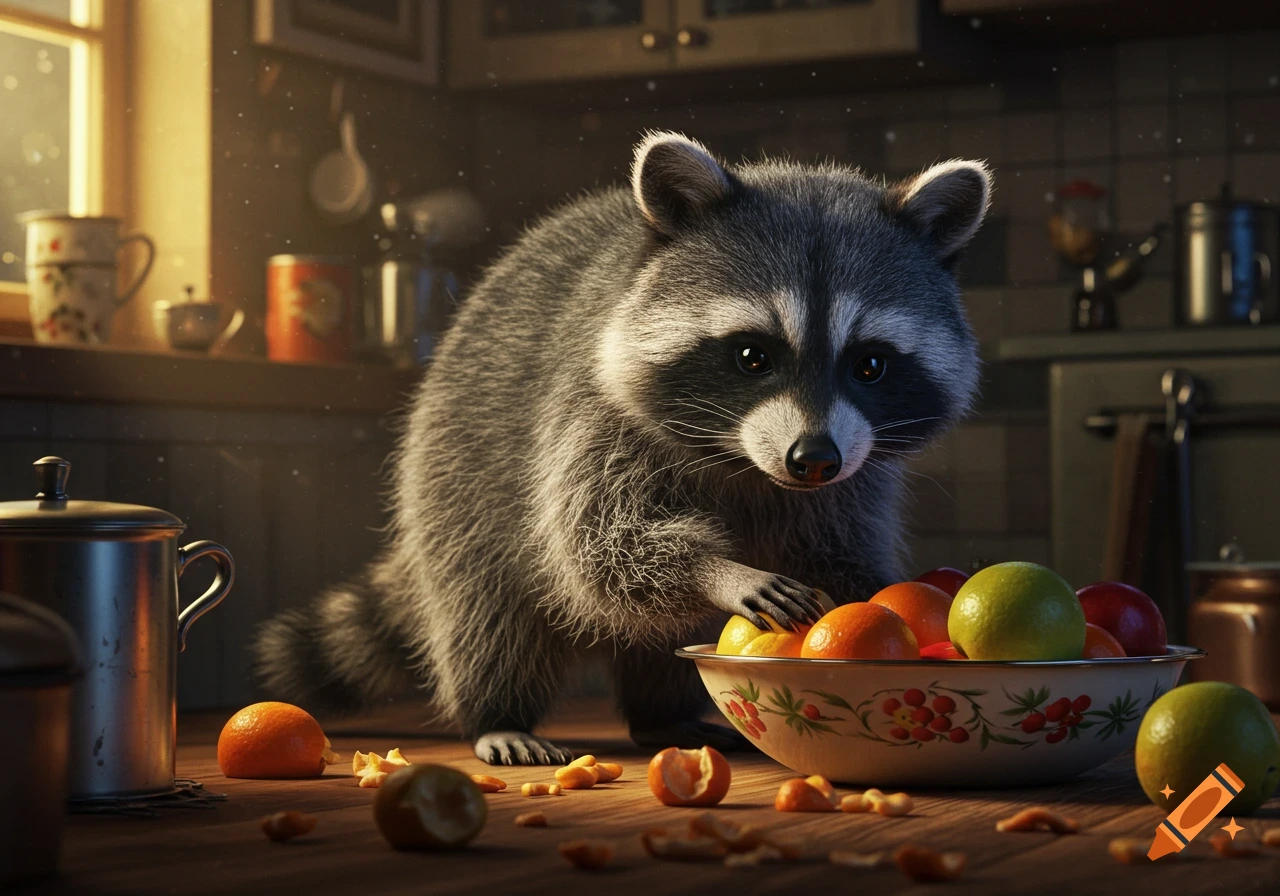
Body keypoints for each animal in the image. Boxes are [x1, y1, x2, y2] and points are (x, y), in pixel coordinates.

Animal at [254, 131, 991, 766]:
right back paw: (497, 712)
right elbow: (598, 546)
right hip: (454, 468)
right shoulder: (592, 415)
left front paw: (878, 588)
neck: (745, 463)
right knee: (488, 609)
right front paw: (717, 570)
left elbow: (838, 550)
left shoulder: (857, 474)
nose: (812, 460)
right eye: (752, 356)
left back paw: (659, 713)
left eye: (870, 365)